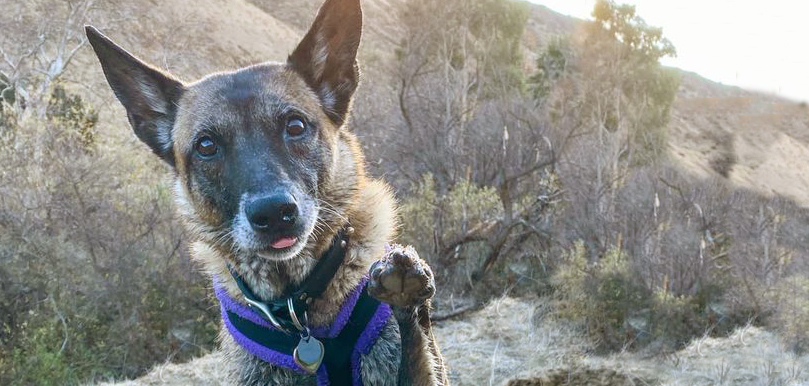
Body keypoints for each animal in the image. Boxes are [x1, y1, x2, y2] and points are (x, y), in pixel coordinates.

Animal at [84, 0, 448, 382]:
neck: (299, 313)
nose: (274, 214)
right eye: (206, 146)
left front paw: (407, 295)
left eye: (295, 126)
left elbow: (417, 353)